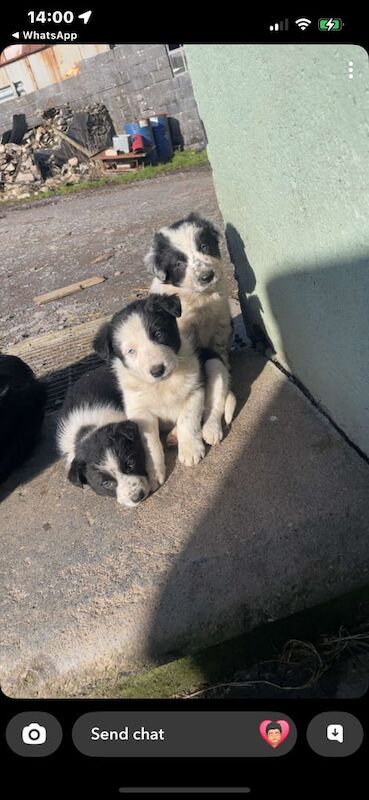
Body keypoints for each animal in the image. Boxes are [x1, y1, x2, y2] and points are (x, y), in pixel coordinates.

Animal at [92, 294, 204, 490]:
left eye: (158, 334)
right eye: (131, 351)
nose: (157, 370)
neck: (162, 384)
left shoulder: (194, 391)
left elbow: (187, 420)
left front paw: (190, 448)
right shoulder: (141, 414)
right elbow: (150, 443)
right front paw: (153, 472)